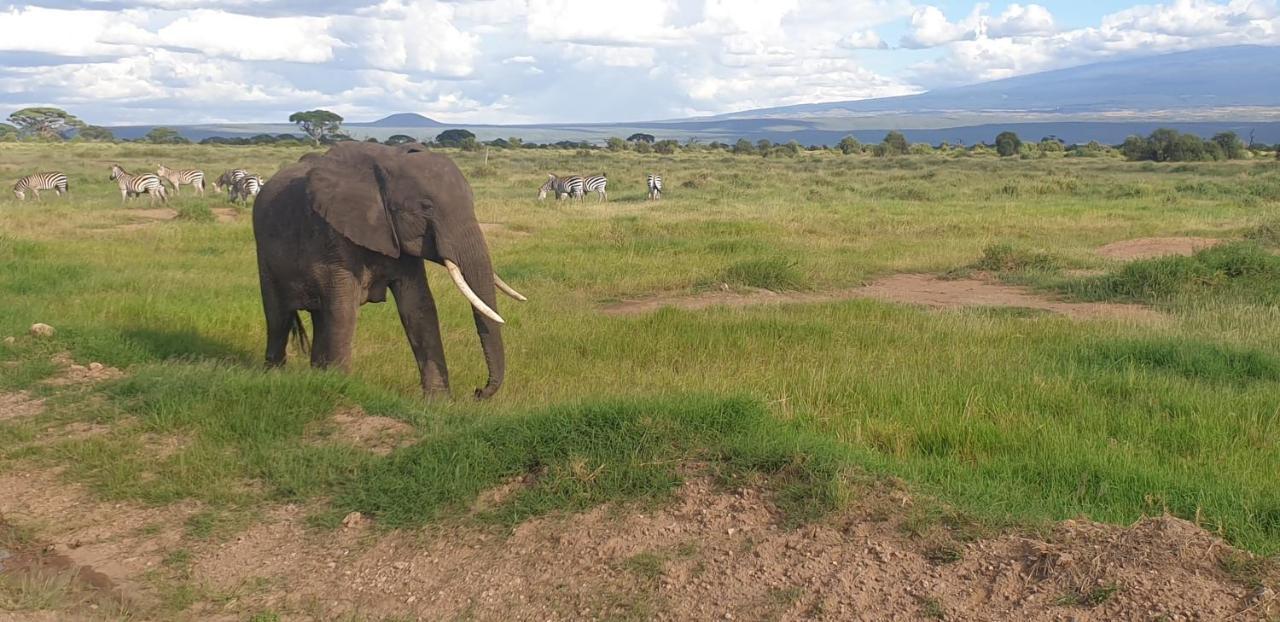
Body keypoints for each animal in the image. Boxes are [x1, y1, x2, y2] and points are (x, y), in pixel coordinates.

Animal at [252, 142, 522, 399]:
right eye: (426, 207)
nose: (478, 391)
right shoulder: (333, 234)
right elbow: (343, 310)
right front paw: (338, 385)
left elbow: (419, 307)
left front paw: (439, 402)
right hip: (264, 253)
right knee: (278, 316)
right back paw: (274, 376)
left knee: (319, 316)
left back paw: (316, 375)